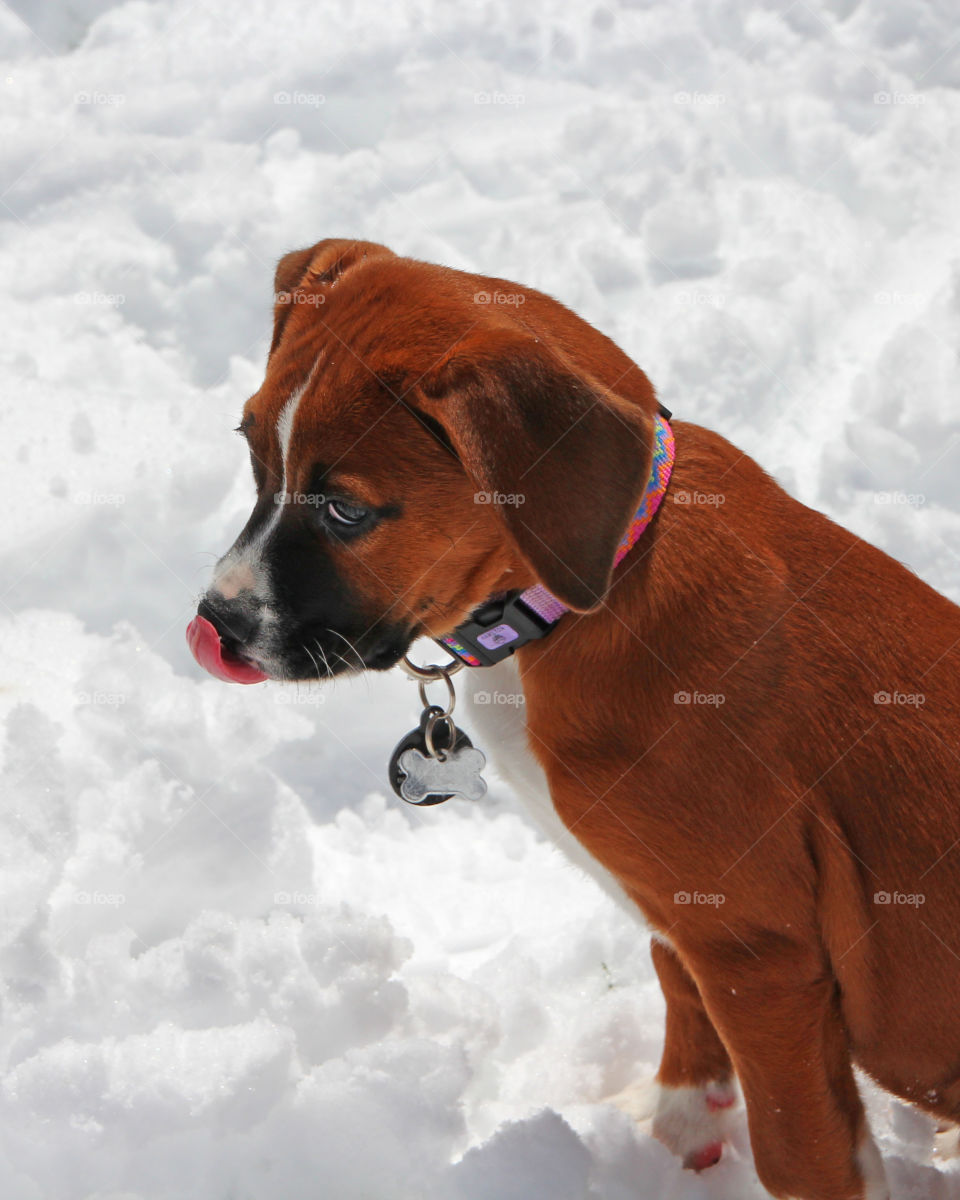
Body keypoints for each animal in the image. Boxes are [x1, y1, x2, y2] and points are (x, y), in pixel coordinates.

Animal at [189, 236, 960, 1200]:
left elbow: (801, 1146)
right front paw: (678, 1126)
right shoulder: (692, 921)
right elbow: (676, 982)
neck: (593, 590)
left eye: (347, 510)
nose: (216, 626)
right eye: (254, 457)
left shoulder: (760, 951)